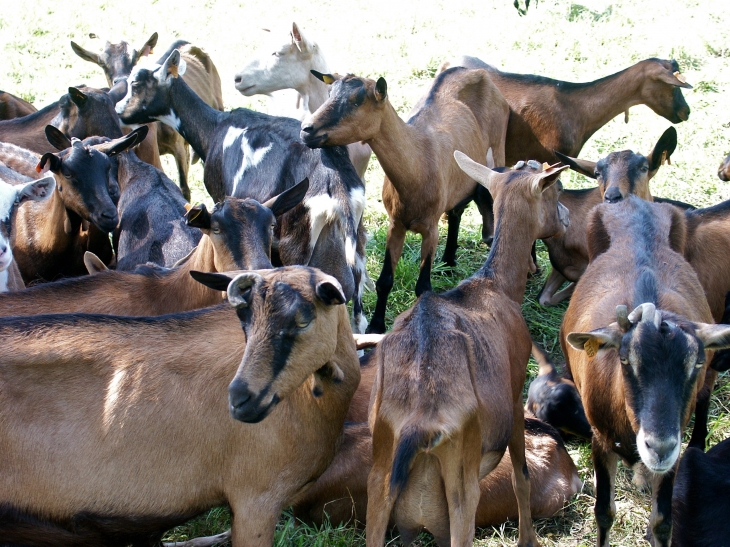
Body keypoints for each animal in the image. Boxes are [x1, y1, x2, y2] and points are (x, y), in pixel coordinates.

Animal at [298, 68, 510, 334]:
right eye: (330, 93)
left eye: (356, 101)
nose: (306, 129)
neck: (419, 162)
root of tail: (475, 71)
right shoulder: (396, 224)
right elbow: (385, 280)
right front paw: (376, 326)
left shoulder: (430, 229)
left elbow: (423, 288)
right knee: (456, 212)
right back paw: (449, 261)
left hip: (499, 142)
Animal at [560, 197, 728, 547]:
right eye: (625, 360)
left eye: (696, 363)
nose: (659, 448)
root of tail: (636, 203)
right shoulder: (601, 439)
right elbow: (604, 512)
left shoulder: (675, 448)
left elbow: (663, 522)